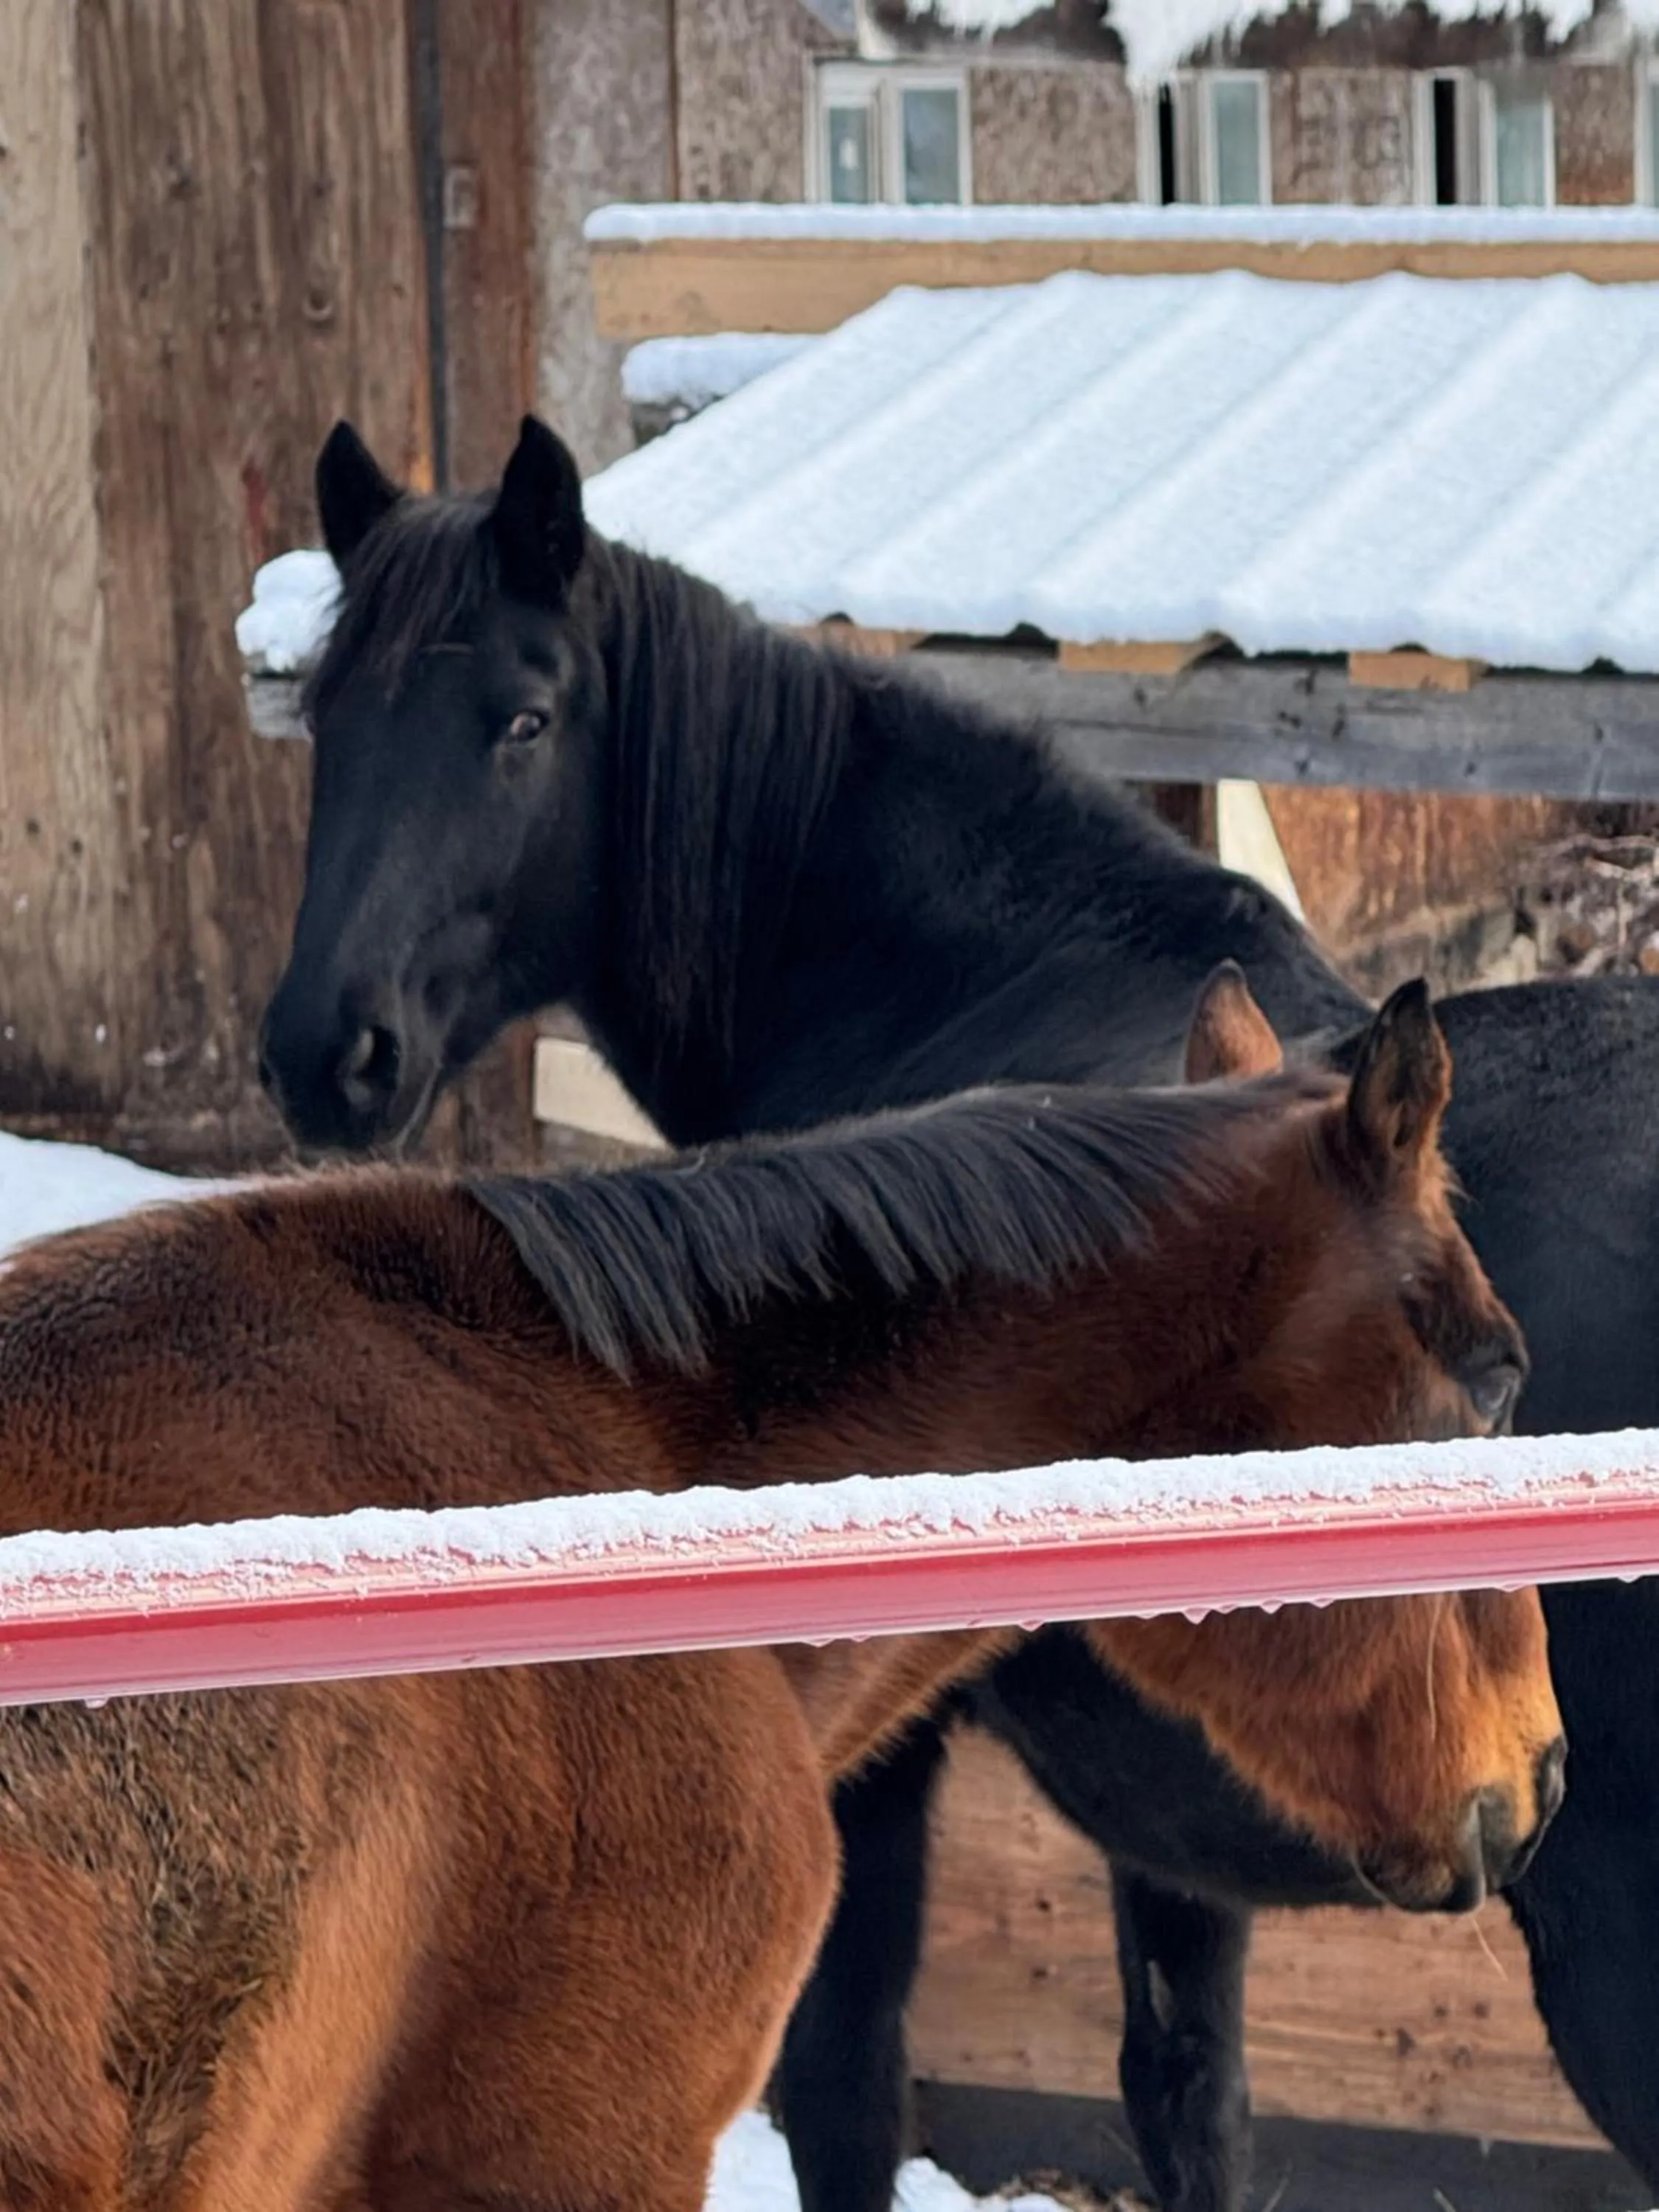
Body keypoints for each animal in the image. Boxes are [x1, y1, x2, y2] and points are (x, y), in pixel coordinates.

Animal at [257, 417, 1659, 2209]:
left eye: (522, 716)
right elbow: (1186, 2097)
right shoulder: (1182, 1819)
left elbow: (847, 2093)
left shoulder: (874, 1758)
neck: (961, 979)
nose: (328, 1051)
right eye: (326, 711)